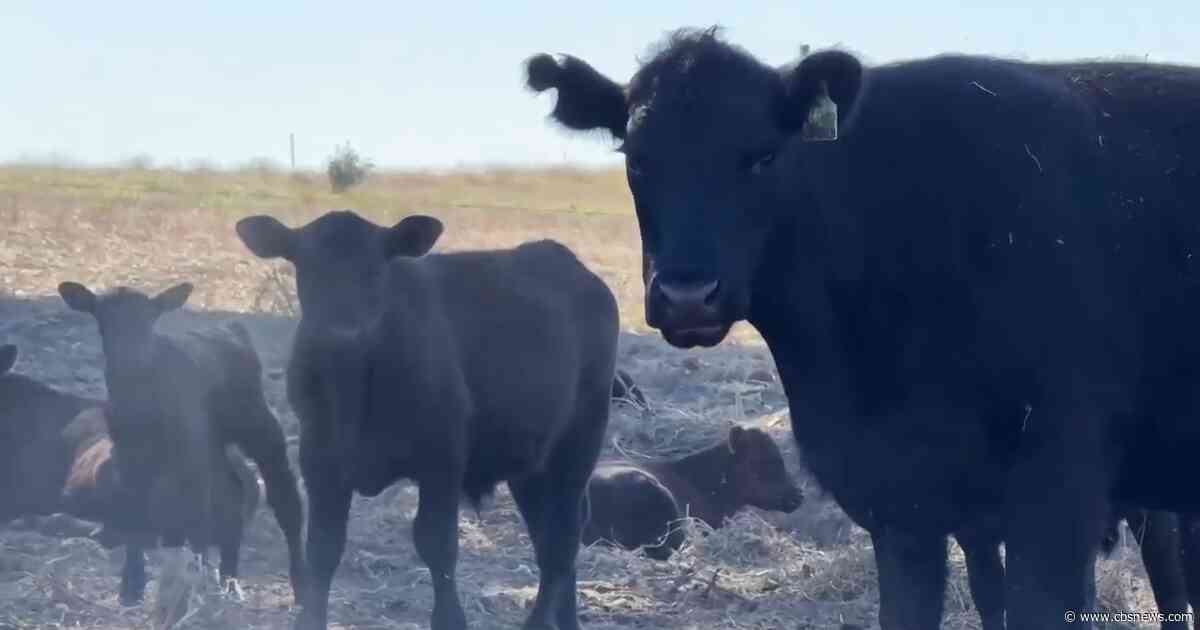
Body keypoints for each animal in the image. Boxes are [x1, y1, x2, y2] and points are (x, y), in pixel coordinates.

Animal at [53, 286, 306, 606]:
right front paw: (131, 585)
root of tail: (228, 329)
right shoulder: (128, 457)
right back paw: (228, 580)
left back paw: (299, 585)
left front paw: (192, 584)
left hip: (256, 425)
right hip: (212, 444)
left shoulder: (190, 454)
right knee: (232, 489)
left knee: (283, 497)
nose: (132, 358)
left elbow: (196, 515)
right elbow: (133, 513)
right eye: (104, 322)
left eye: (149, 321)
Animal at [234, 209, 620, 630]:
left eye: (376, 268)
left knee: (562, 537)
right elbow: (323, 547)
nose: (342, 334)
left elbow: (436, 542)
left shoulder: (443, 459)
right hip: (532, 462)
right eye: (308, 265)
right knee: (549, 534)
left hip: (581, 437)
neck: (355, 386)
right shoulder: (321, 461)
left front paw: (451, 618)